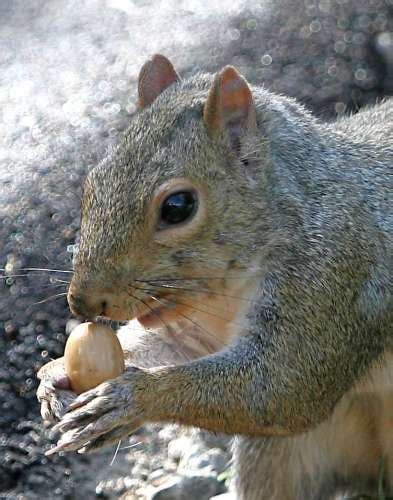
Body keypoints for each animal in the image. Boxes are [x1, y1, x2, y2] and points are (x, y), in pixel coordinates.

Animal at [36, 54, 392, 500]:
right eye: (92, 183)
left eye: (178, 206)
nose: (81, 302)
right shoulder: (195, 328)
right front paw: (53, 375)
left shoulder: (334, 277)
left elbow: (281, 388)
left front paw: (134, 398)